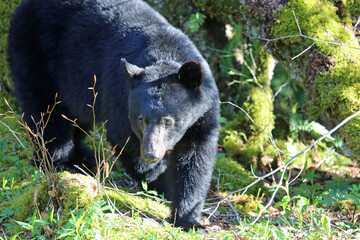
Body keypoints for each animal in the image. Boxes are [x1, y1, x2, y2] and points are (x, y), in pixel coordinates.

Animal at [8, 0, 219, 229]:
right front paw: (161, 179)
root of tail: (22, 7)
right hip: (35, 54)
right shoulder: (120, 98)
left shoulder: (204, 114)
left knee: (75, 117)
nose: (151, 154)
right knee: (46, 113)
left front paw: (189, 219)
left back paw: (83, 156)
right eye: (141, 120)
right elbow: (125, 141)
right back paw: (60, 161)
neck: (165, 53)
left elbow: (196, 158)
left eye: (168, 122)